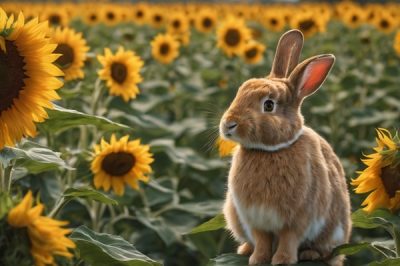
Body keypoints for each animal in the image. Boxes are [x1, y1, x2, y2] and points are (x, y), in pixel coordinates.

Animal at [220, 29, 352, 266]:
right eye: (240, 92)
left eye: (269, 105)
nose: (228, 124)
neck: (270, 150)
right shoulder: (255, 220)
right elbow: (262, 240)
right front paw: (257, 260)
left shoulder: (297, 219)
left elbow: (288, 239)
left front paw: (282, 260)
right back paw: (244, 250)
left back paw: (310, 254)